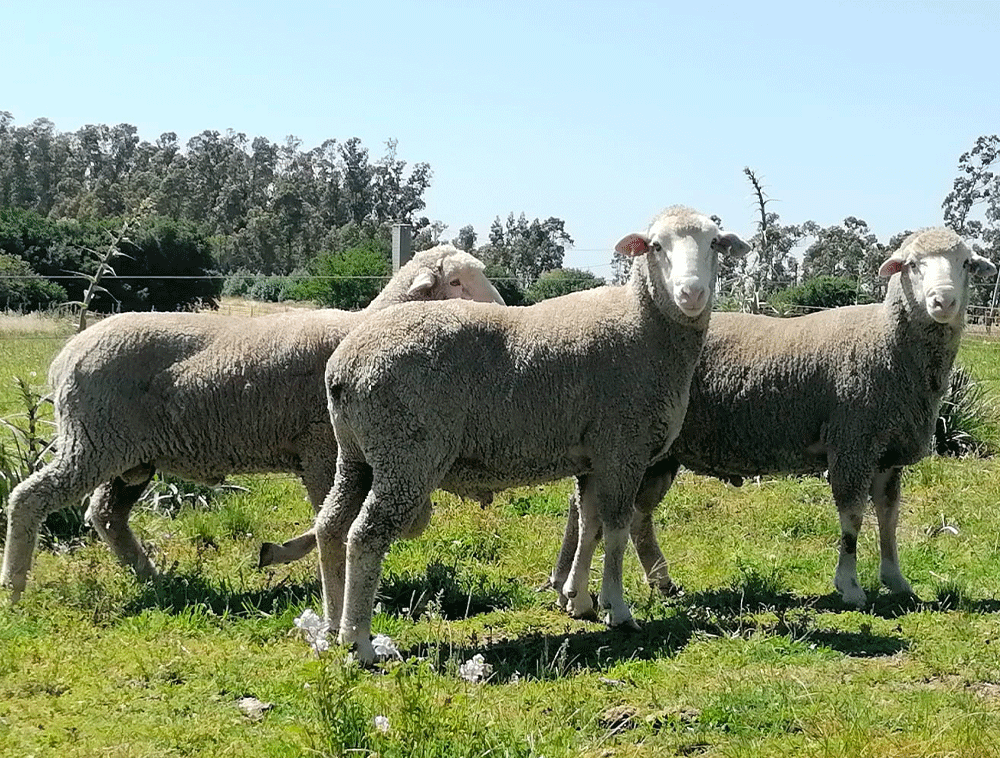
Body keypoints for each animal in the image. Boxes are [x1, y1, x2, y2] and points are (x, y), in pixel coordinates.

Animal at [0, 246, 500, 604]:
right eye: (456, 281)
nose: (504, 310)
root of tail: (66, 355)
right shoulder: (321, 450)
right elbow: (346, 520)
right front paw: (291, 555)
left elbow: (406, 521)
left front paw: (283, 553)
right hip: (94, 441)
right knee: (30, 497)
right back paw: (15, 587)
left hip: (127, 456)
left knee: (105, 515)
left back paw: (154, 578)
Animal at [316, 205, 748, 664]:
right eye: (655, 246)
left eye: (715, 243)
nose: (691, 293)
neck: (646, 326)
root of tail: (343, 365)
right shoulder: (623, 445)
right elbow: (616, 530)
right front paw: (616, 608)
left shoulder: (594, 456)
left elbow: (590, 524)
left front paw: (579, 600)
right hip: (407, 455)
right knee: (366, 535)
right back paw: (359, 642)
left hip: (358, 454)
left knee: (330, 526)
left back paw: (331, 626)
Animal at [552, 224, 996, 604]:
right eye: (912, 264)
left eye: (966, 264)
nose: (943, 301)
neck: (890, 344)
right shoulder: (852, 442)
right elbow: (852, 518)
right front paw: (850, 586)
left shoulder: (886, 453)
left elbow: (888, 517)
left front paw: (896, 580)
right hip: (628, 442)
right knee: (586, 506)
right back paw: (564, 582)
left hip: (660, 452)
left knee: (636, 515)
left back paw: (659, 580)